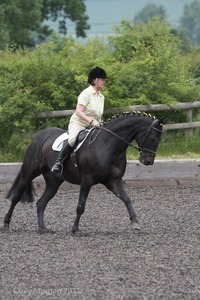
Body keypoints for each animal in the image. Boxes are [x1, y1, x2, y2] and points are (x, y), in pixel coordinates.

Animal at [2, 111, 166, 233]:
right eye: (152, 138)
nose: (148, 161)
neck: (108, 144)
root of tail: (39, 135)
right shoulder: (87, 180)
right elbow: (81, 205)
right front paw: (75, 229)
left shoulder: (113, 182)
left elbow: (127, 199)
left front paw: (135, 223)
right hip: (29, 172)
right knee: (16, 197)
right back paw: (6, 224)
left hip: (54, 181)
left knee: (41, 203)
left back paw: (43, 228)